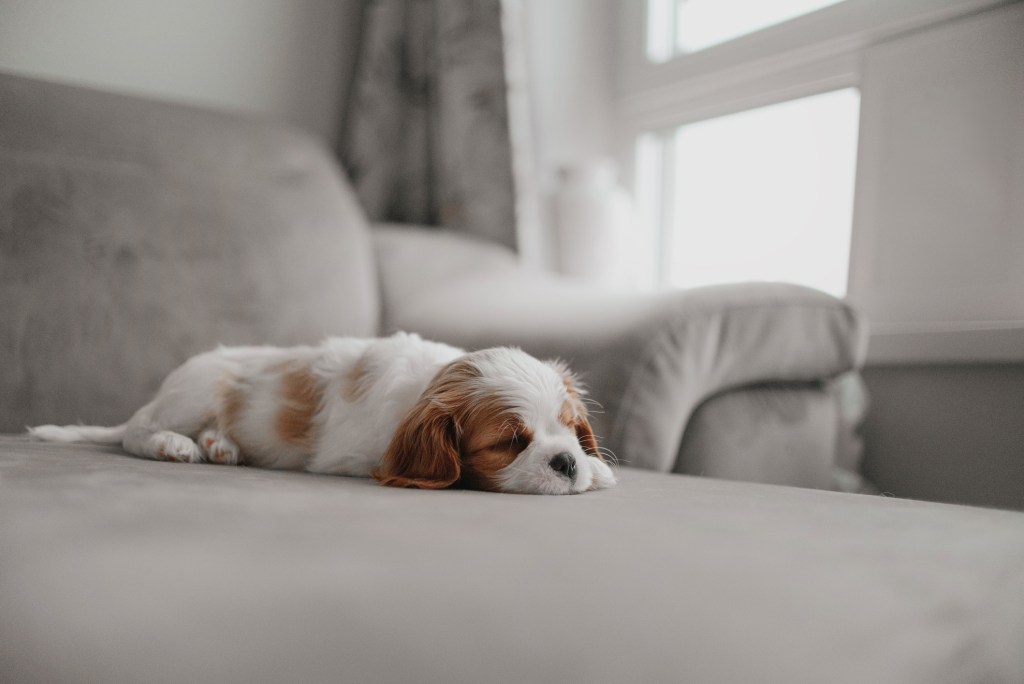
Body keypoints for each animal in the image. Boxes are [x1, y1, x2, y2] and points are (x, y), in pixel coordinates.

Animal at [28, 331, 610, 491]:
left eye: (570, 429)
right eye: (509, 443)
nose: (566, 463)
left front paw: (596, 467)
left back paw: (221, 445)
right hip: (197, 390)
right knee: (136, 431)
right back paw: (176, 444)